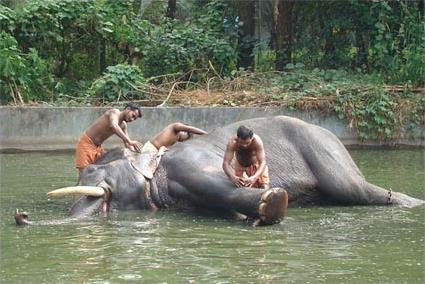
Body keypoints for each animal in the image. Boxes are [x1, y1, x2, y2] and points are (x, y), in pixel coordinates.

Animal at [14, 115, 422, 226]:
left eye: (89, 176)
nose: (21, 216)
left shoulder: (190, 164)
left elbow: (225, 185)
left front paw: (270, 205)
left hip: (324, 149)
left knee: (353, 189)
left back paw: (410, 204)